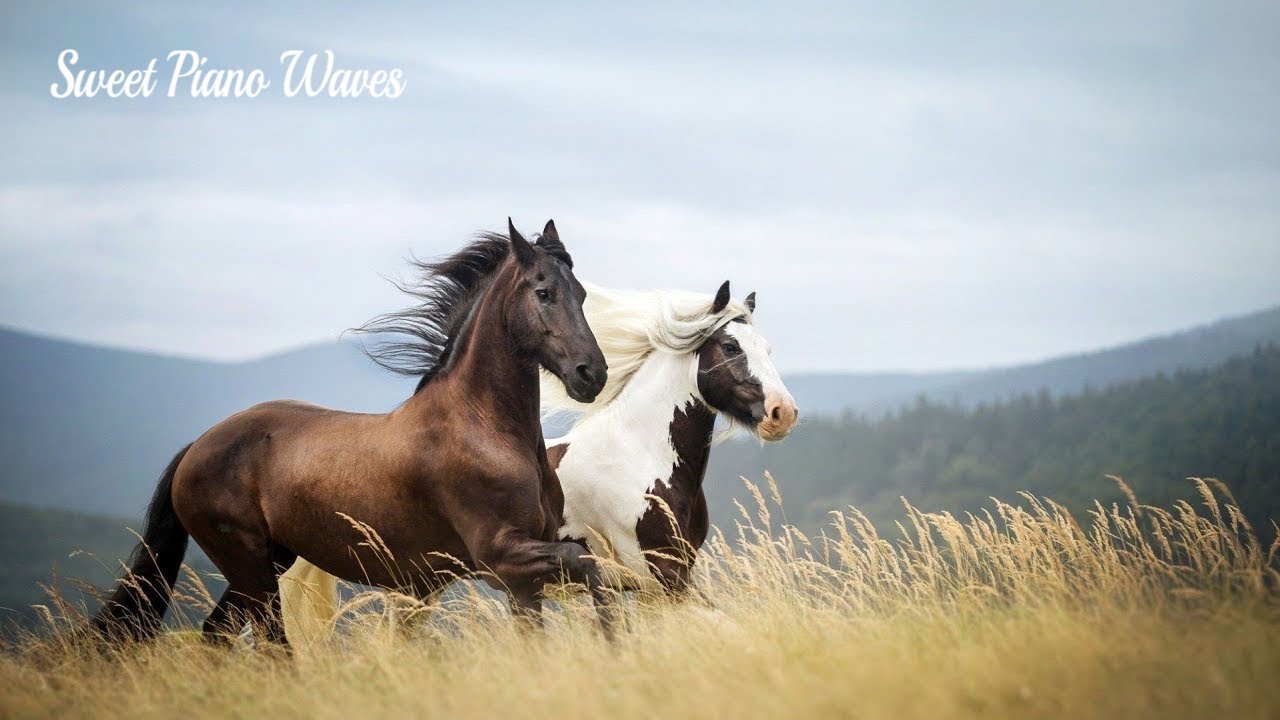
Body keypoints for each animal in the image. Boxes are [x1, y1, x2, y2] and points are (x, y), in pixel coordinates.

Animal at [91, 219, 617, 646]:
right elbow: (590, 565)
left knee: (216, 634)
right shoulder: (501, 558)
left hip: (267, 564)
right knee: (270, 642)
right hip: (249, 567)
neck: (485, 429)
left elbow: (588, 587)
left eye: (582, 294)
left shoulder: (524, 580)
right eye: (543, 293)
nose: (591, 374)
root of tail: (196, 447)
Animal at [280, 279, 798, 639]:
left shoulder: (667, 579)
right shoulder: (657, 577)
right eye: (730, 347)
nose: (783, 413)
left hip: (419, 587)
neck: (638, 455)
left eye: (768, 349)